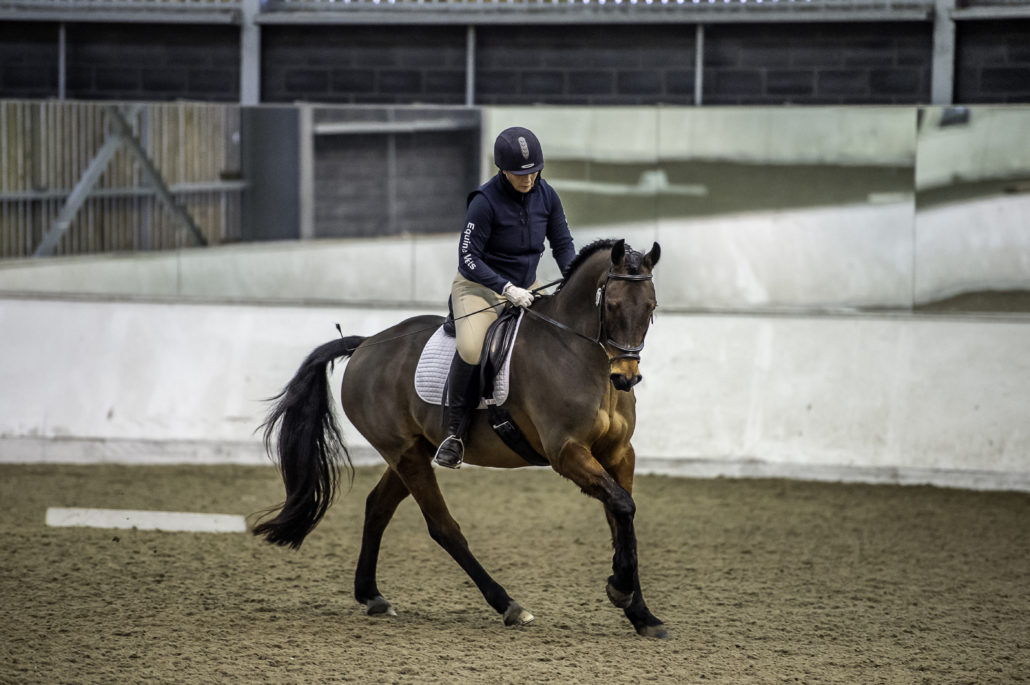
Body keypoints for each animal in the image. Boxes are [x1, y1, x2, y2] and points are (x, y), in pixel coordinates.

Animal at [253, 237, 663, 638]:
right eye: (611, 304)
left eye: (651, 307)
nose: (626, 377)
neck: (580, 356)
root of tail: (368, 343)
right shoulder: (567, 452)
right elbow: (623, 505)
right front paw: (620, 590)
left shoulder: (618, 453)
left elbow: (622, 515)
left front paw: (640, 612)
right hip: (405, 452)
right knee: (443, 527)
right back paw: (508, 605)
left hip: (415, 449)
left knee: (378, 506)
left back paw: (372, 595)